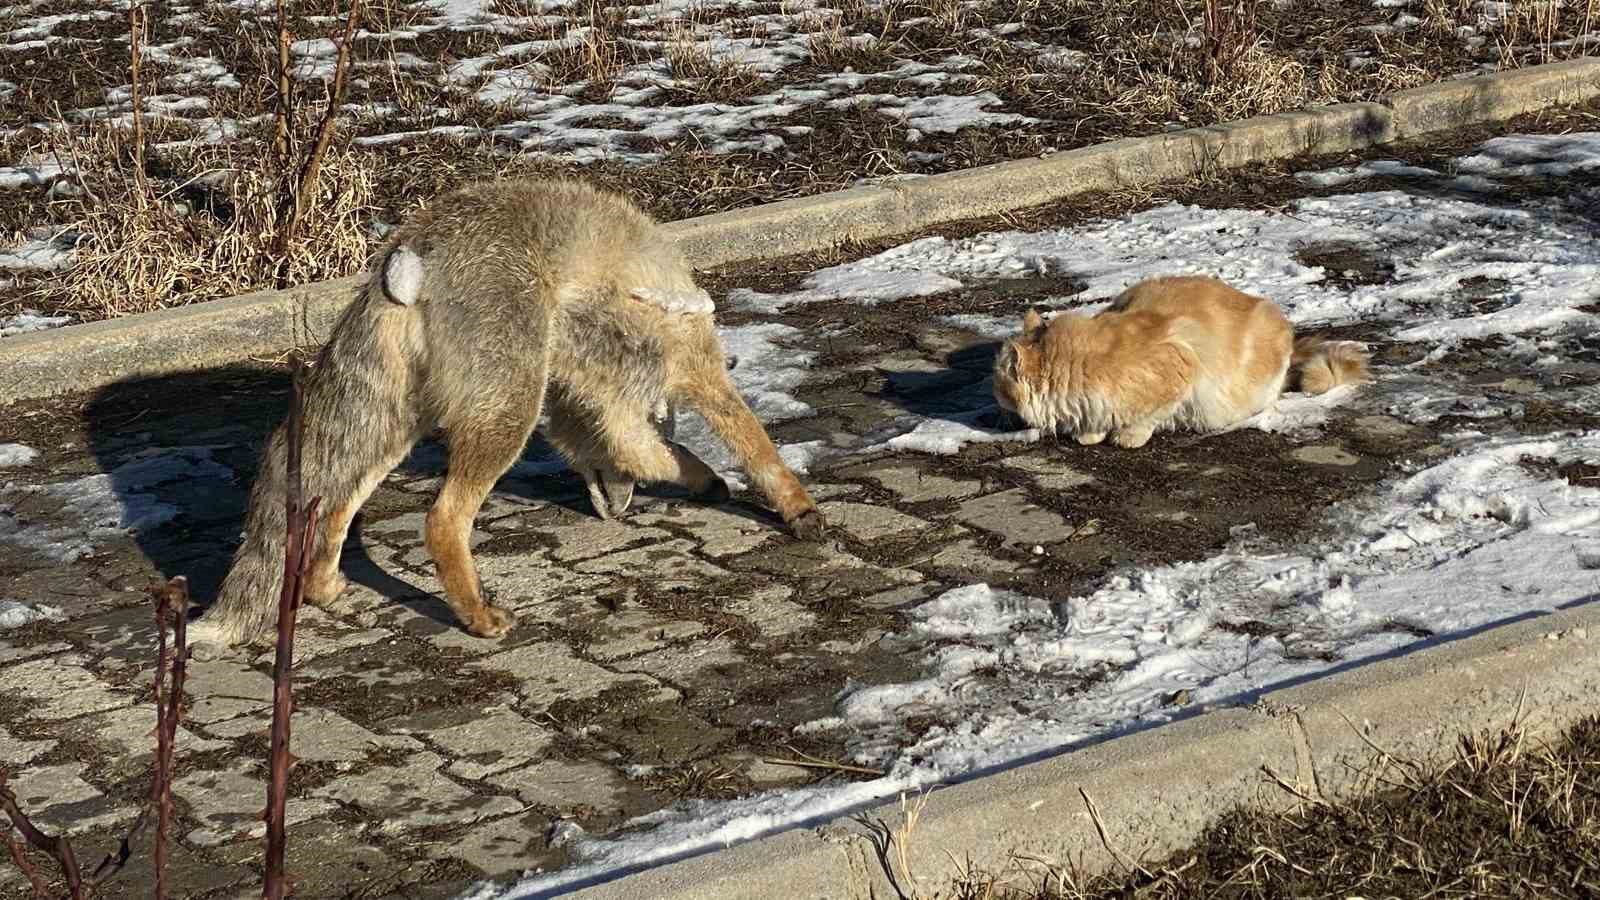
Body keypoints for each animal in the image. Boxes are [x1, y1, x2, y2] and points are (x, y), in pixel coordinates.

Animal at [190, 178, 825, 646]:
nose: (614, 511)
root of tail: (413, 251)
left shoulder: (593, 394)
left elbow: (652, 450)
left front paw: (696, 476)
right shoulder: (684, 372)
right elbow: (744, 446)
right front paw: (794, 507)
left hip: (400, 424)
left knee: (337, 505)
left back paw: (323, 587)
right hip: (509, 412)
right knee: (442, 520)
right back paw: (477, 616)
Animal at [992, 269, 1369, 445]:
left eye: (997, 384)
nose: (994, 398)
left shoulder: (1180, 369)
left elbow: (1146, 417)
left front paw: (1125, 436)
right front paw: (1091, 434)